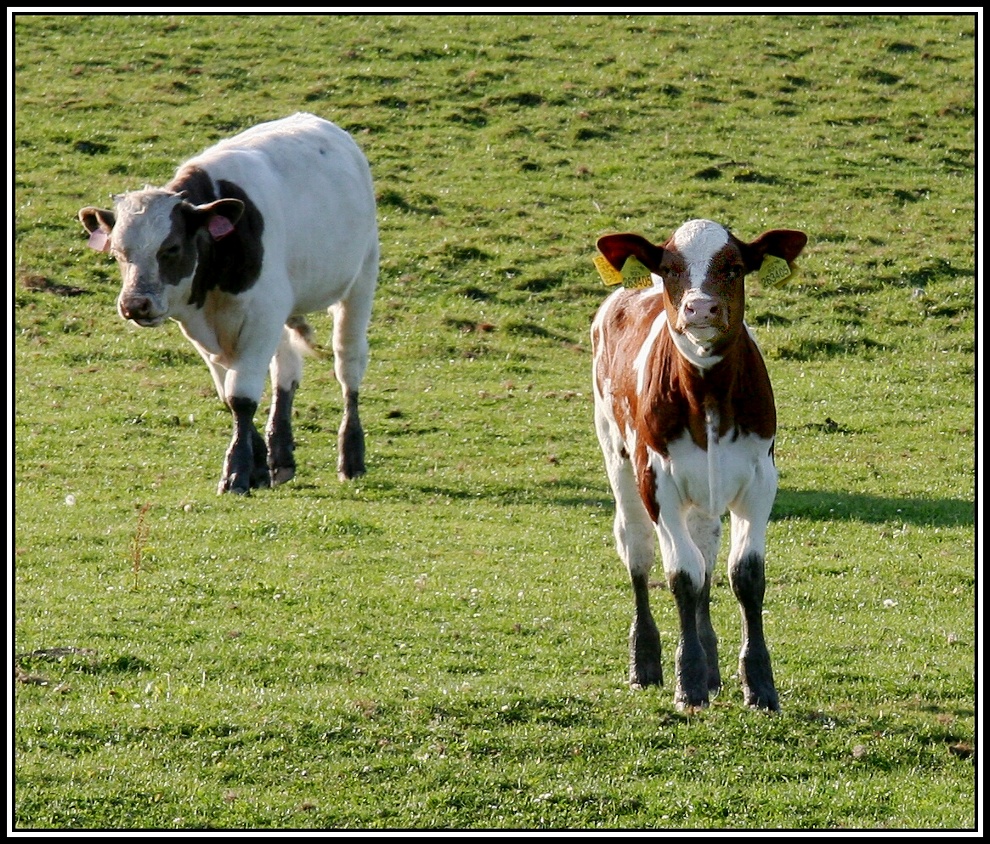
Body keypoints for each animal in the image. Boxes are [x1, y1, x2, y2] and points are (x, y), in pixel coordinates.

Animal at [77, 113, 378, 494]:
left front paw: (235, 472)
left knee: (348, 364)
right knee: (286, 371)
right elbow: (228, 393)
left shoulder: (262, 315)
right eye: (117, 253)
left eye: (172, 248)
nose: (135, 304)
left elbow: (241, 397)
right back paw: (281, 455)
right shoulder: (204, 328)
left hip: (361, 278)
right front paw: (258, 466)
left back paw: (351, 456)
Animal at [588, 219, 808, 712]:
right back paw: (646, 663)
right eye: (671, 268)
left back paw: (711, 668)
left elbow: (744, 574)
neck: (709, 396)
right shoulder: (658, 481)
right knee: (638, 549)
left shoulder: (760, 480)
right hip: (616, 453)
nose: (700, 307)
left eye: (734, 267)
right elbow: (682, 574)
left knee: (706, 549)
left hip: (706, 490)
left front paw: (758, 684)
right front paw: (686, 681)